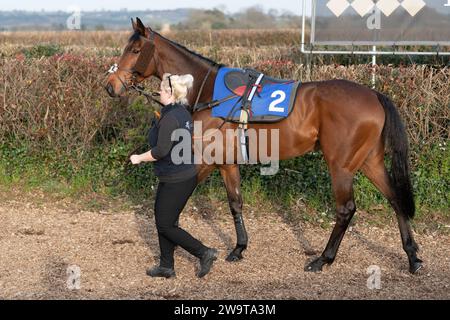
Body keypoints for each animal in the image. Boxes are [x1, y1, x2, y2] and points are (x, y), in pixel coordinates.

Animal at [105, 18, 422, 272]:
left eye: (135, 50)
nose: (111, 85)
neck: (210, 94)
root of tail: (373, 95)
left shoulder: (206, 158)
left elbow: (171, 206)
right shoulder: (227, 162)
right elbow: (235, 202)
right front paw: (239, 248)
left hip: (341, 166)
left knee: (346, 209)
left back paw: (323, 258)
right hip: (369, 160)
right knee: (395, 199)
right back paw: (413, 257)